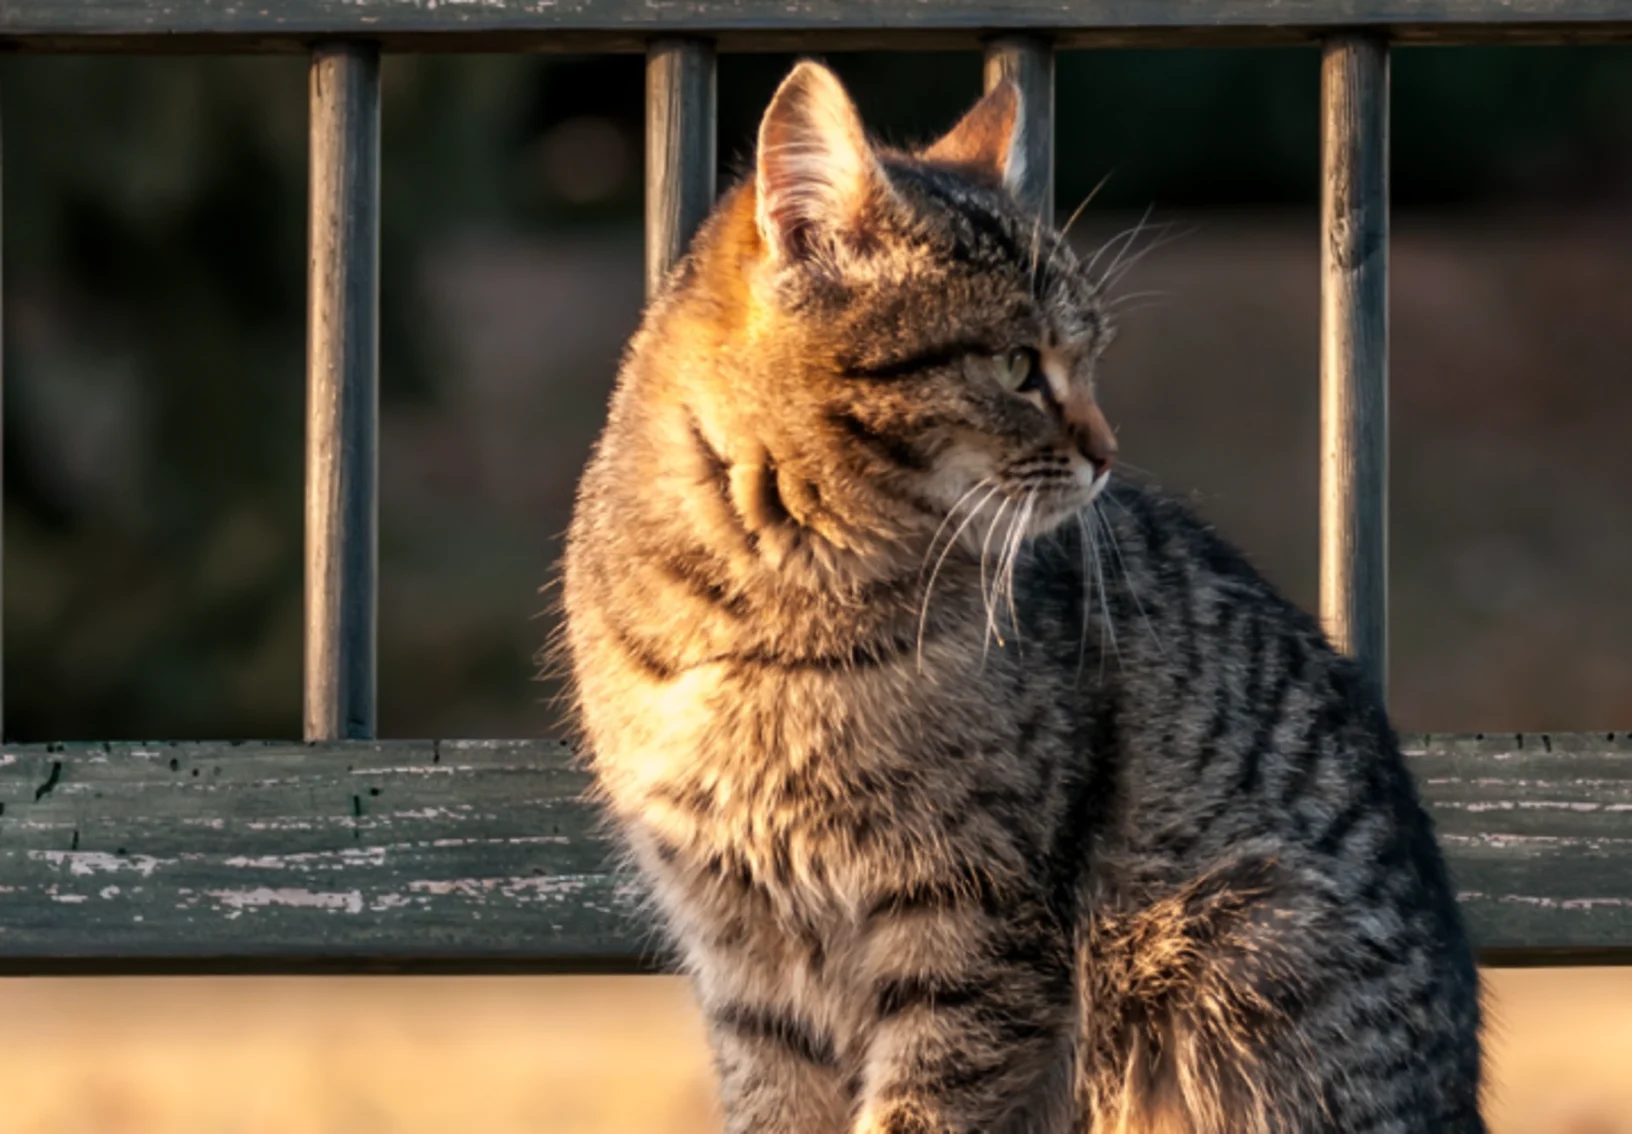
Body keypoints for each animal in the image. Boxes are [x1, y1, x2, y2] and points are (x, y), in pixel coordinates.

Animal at [558, 59, 1481, 1134]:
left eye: (1088, 359)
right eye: (1015, 365)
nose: (1108, 451)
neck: (764, 603)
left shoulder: (971, 918)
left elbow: (920, 1105)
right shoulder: (743, 952)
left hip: (1235, 944)